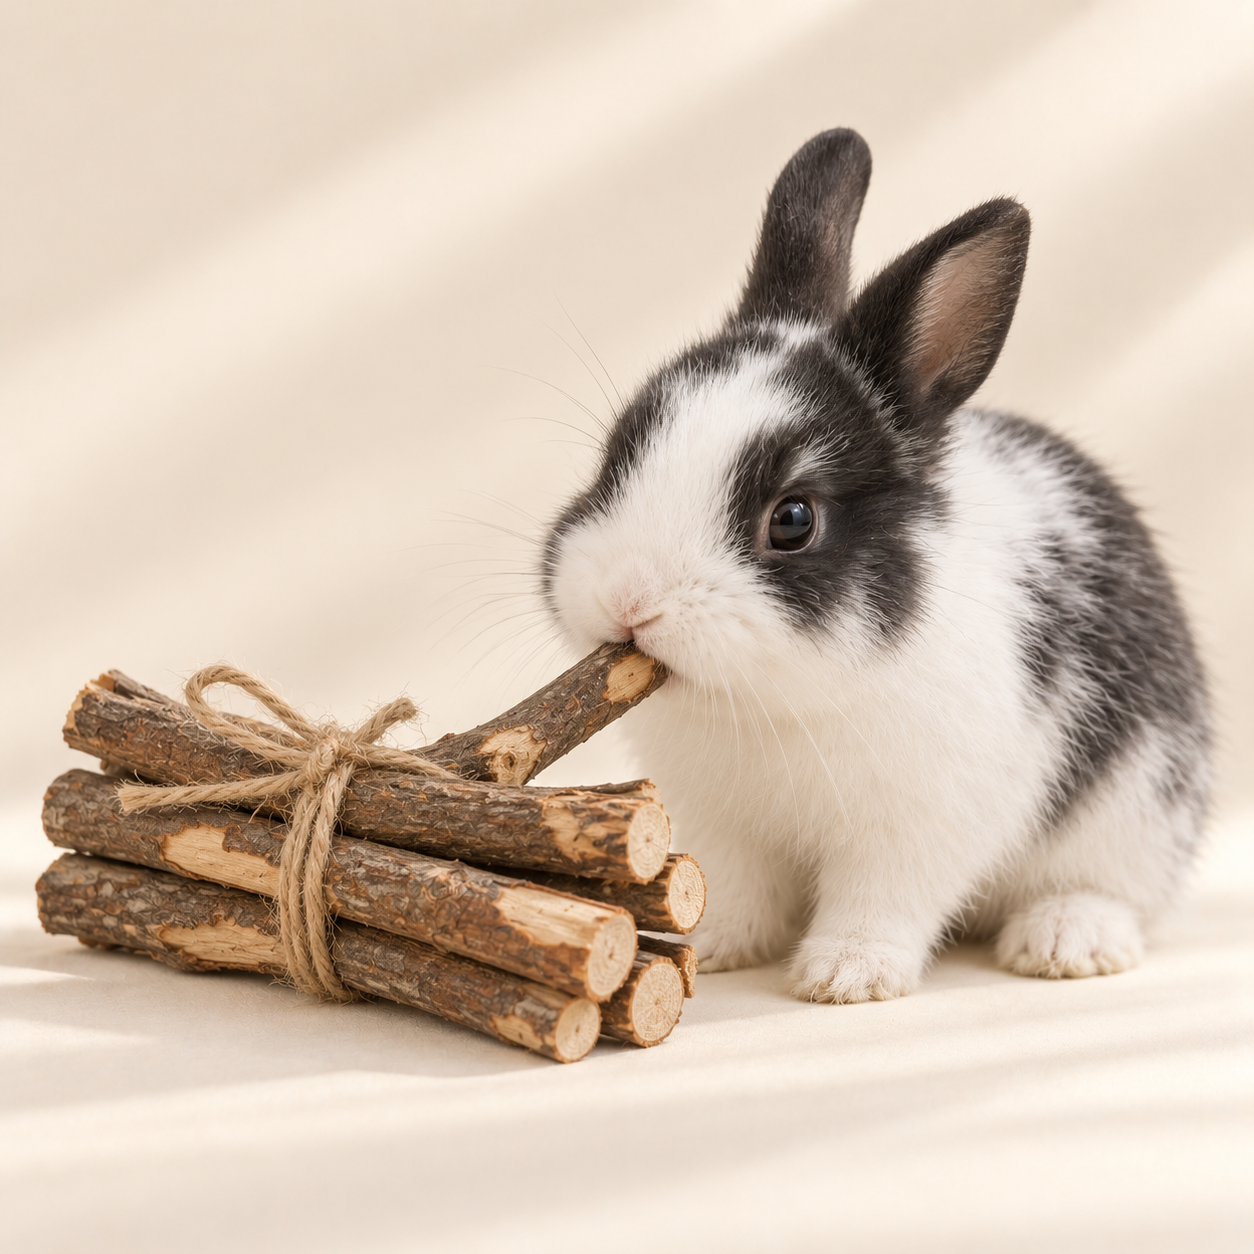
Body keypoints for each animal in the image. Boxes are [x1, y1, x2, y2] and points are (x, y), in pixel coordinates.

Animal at [540, 129, 1211, 1002]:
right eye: (617, 454)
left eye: (793, 521)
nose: (627, 599)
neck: (769, 705)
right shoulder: (724, 825)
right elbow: (732, 887)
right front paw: (709, 943)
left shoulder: (915, 826)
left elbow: (882, 899)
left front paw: (846, 975)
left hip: (1137, 809)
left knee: (1115, 890)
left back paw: (1065, 940)